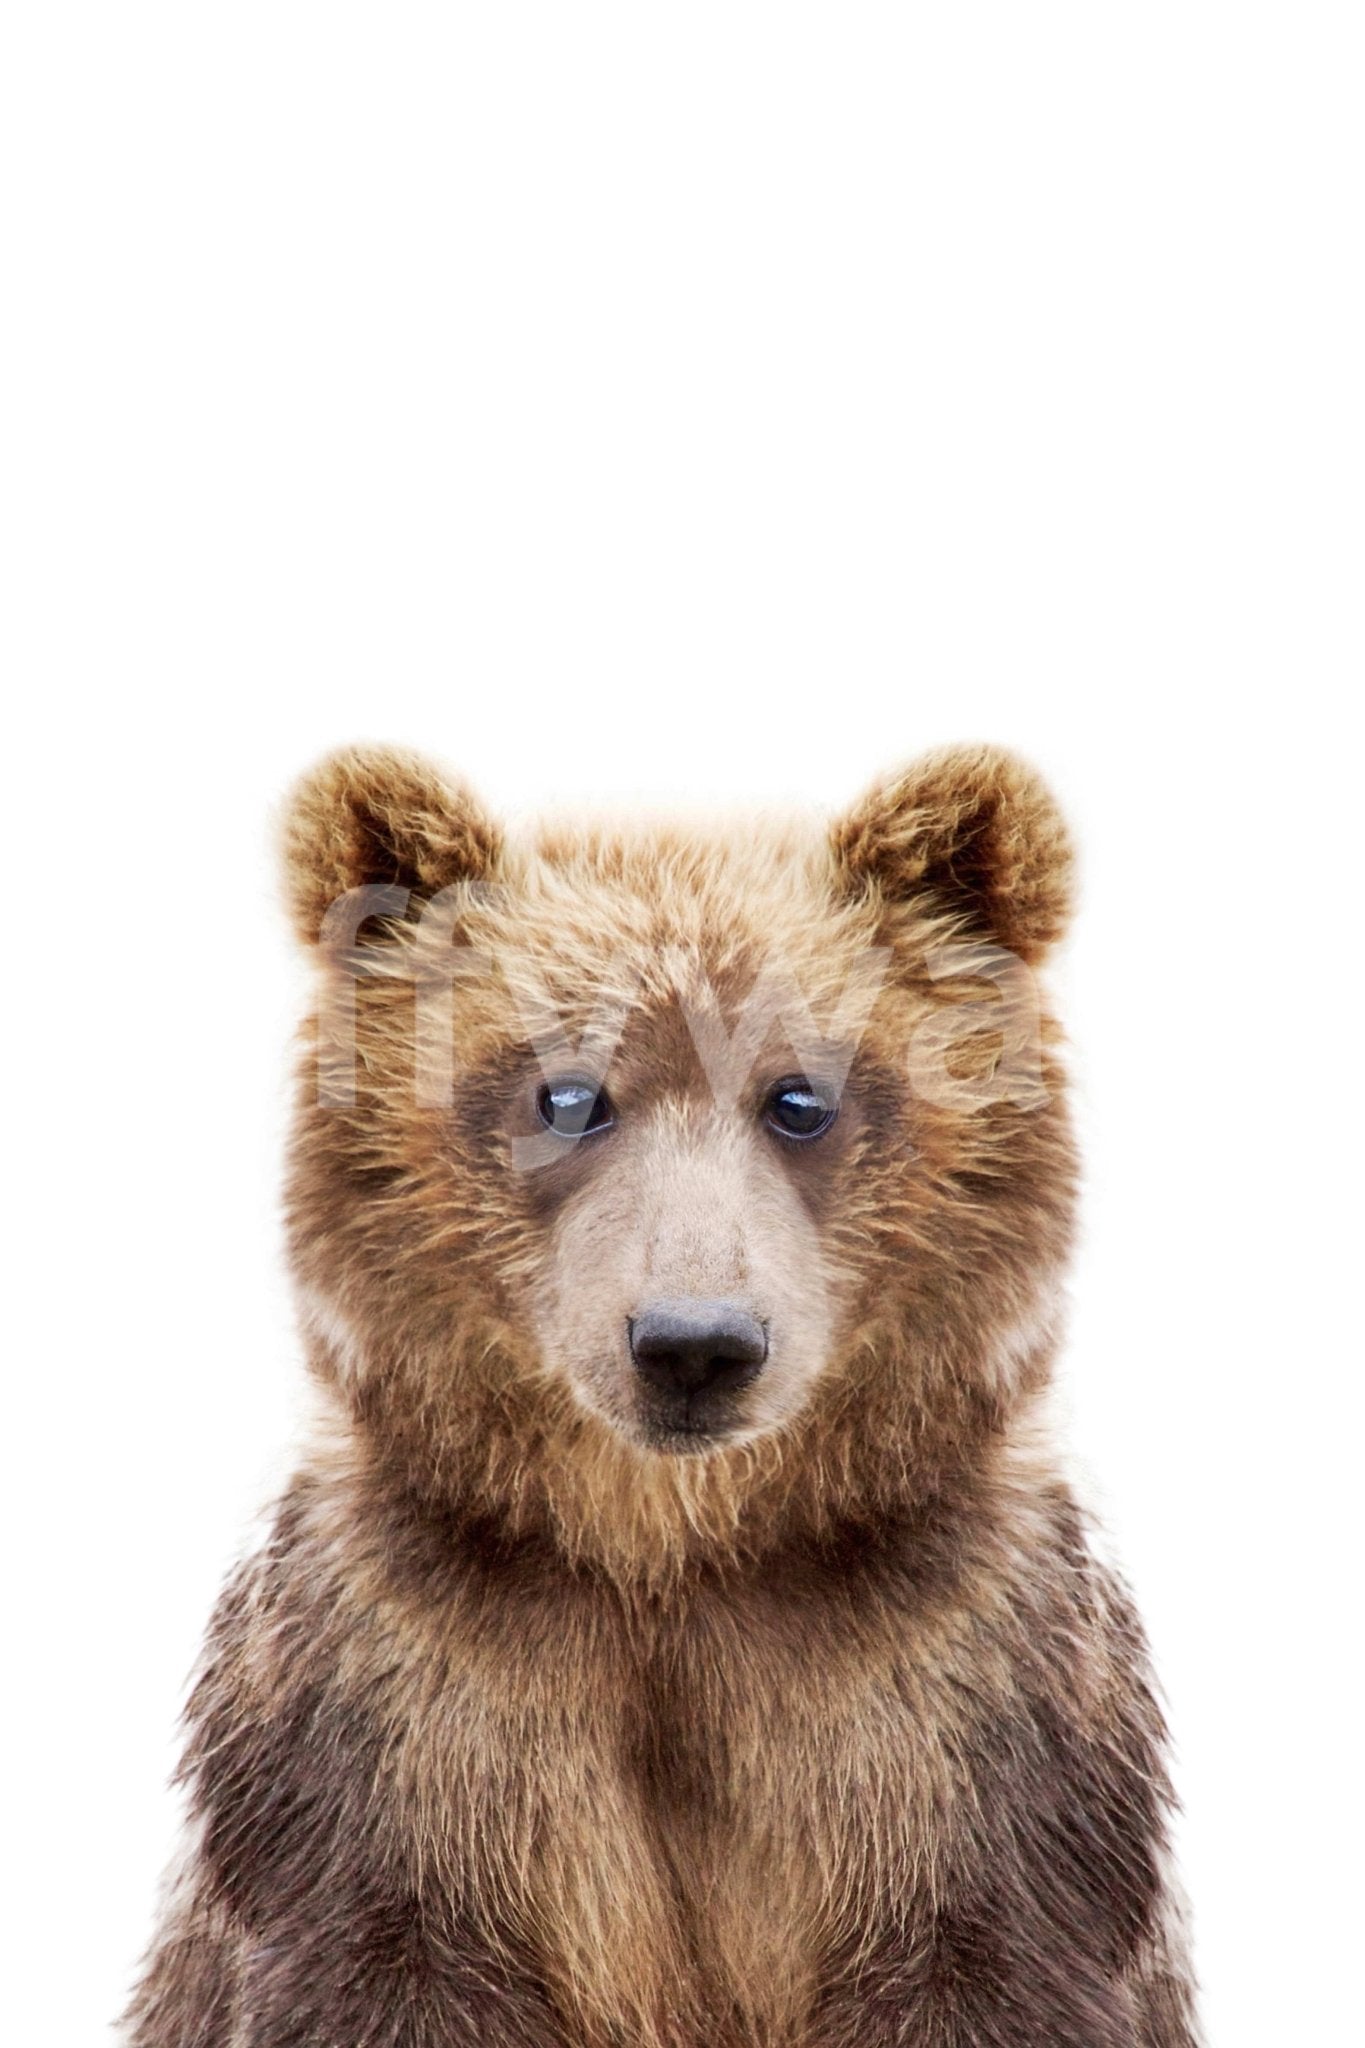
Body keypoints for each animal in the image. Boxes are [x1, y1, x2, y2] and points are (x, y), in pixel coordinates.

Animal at [123, 743, 1200, 2048]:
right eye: (568, 1093)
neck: (673, 1554)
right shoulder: (397, 1713)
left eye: (801, 1096)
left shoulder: (962, 1713)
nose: (694, 1342)